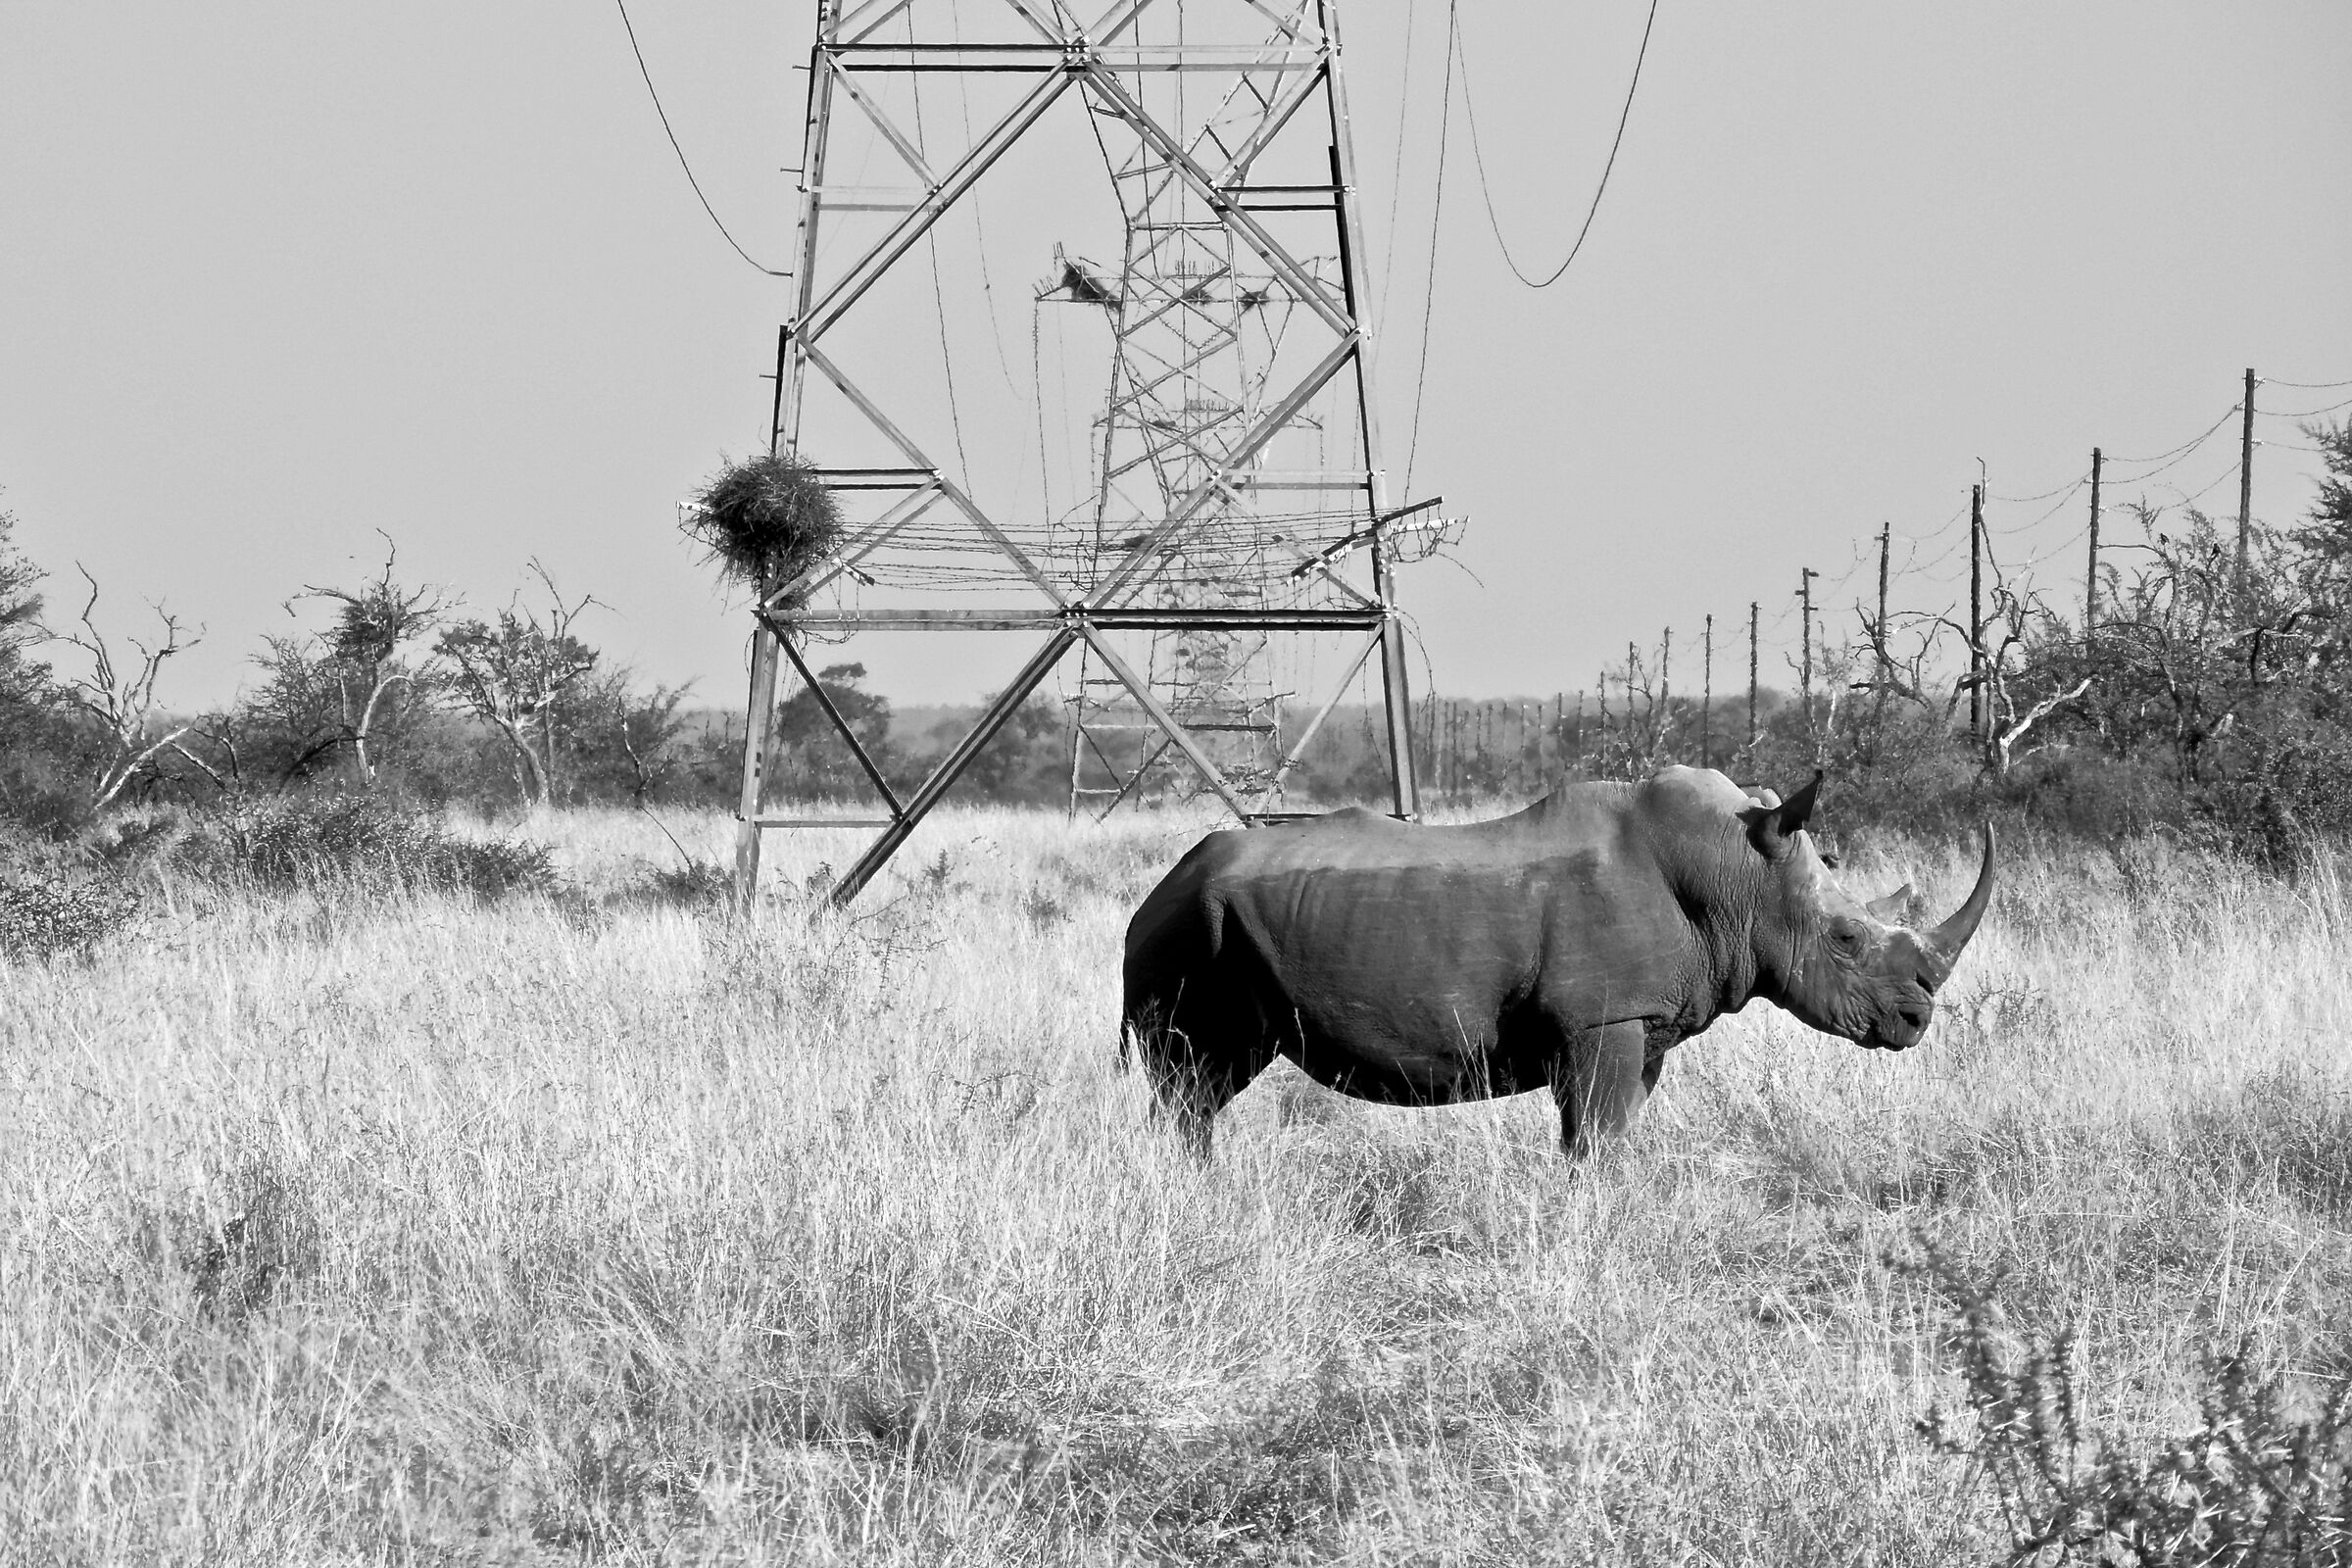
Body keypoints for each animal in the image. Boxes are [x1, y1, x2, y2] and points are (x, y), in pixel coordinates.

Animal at [1120, 766, 1993, 1157]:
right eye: (1845, 940)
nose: (1916, 1020)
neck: (1738, 874)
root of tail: (1158, 888)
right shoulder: (1601, 1016)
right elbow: (1596, 1141)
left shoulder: (1637, 1023)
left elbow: (1606, 1135)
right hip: (1186, 932)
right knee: (1191, 1077)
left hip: (1208, 924)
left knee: (1210, 1082)